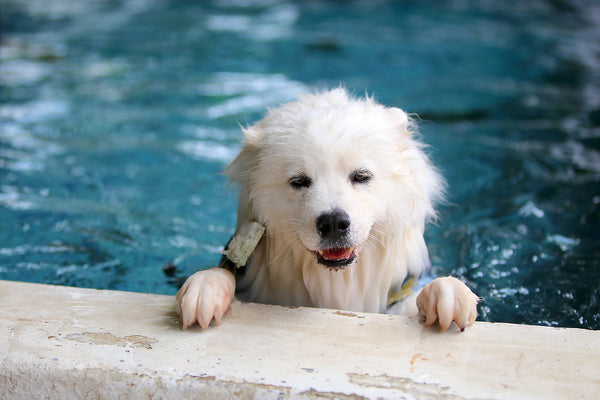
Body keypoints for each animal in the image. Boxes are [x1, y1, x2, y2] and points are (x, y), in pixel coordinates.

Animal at [176, 90, 476, 332]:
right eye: (298, 181)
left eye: (361, 176)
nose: (333, 223)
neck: (337, 285)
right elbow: (223, 273)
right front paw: (206, 288)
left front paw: (447, 292)